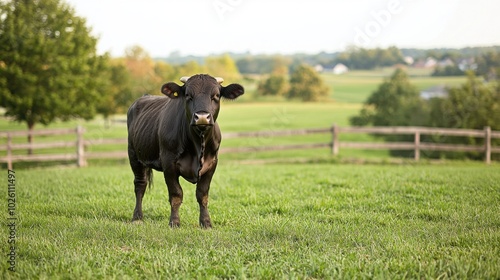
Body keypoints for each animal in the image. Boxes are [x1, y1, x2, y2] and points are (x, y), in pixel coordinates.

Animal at [127, 74, 244, 228]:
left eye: (216, 95)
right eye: (188, 95)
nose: (202, 117)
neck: (198, 146)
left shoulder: (212, 164)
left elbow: (202, 194)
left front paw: (206, 222)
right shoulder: (168, 163)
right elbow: (176, 194)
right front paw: (175, 222)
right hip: (134, 156)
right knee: (140, 185)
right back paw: (137, 217)